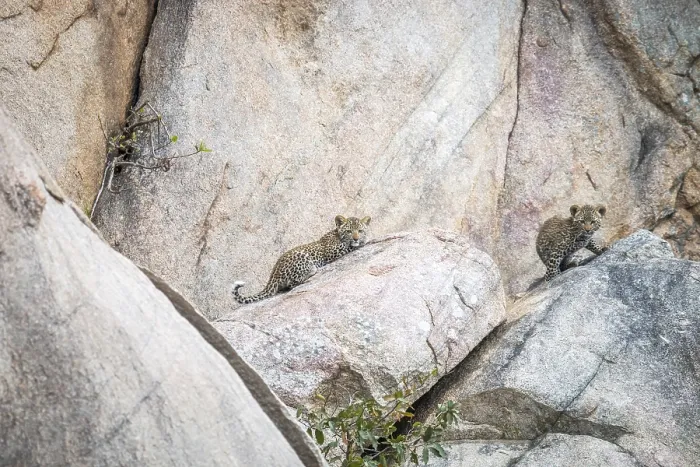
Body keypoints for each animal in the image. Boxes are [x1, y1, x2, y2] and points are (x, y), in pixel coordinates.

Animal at [232, 215, 371, 304]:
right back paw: (310, 274)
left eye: (360, 230)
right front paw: (365, 241)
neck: (336, 234)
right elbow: (349, 246)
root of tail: (273, 275)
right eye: (349, 231)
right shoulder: (331, 252)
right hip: (302, 258)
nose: (356, 238)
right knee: (292, 284)